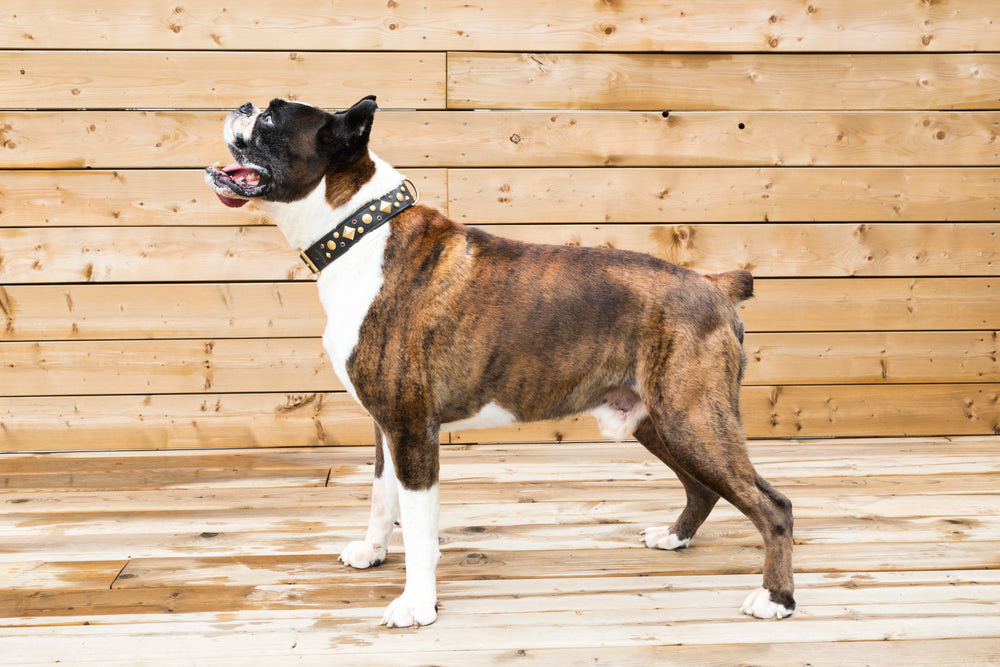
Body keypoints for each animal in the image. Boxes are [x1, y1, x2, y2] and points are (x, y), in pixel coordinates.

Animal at [205, 96, 796, 628]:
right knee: (704, 488)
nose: (243, 105)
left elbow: (418, 528)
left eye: (271, 117)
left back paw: (776, 599)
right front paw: (373, 551)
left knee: (773, 506)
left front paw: (416, 605)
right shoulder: (386, 426)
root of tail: (713, 284)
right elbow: (380, 496)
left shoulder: (411, 430)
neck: (360, 232)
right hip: (660, 420)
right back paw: (675, 537)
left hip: (692, 419)